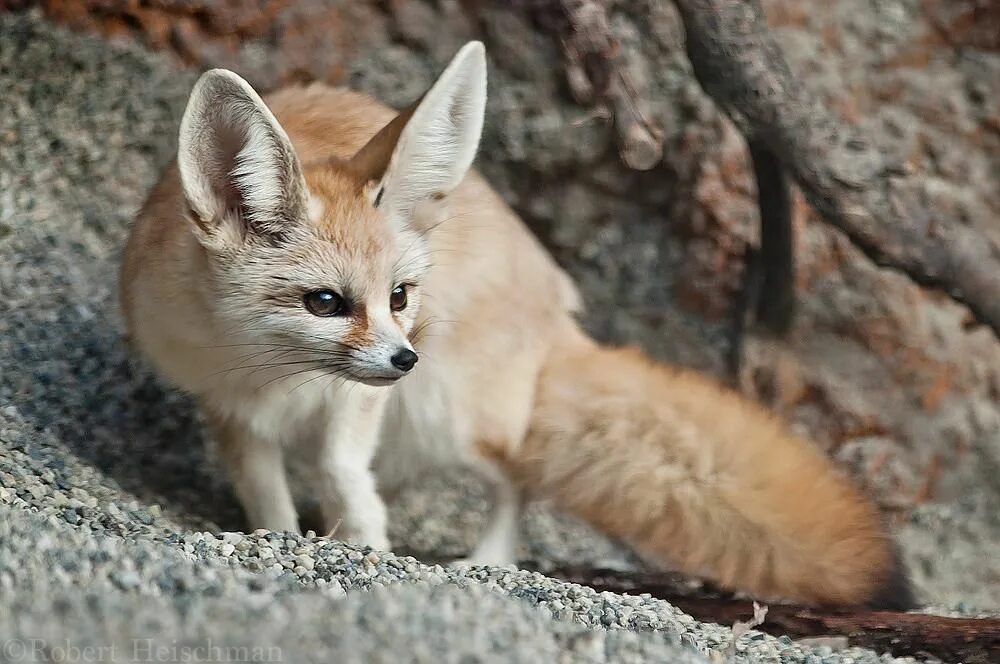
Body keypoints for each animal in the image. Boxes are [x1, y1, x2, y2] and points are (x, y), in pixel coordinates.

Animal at [119, 42, 916, 612]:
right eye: (325, 303)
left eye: (400, 295)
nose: (405, 358)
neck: (272, 376)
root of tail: (555, 306)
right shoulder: (226, 408)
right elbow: (266, 493)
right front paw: (286, 543)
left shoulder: (354, 401)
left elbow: (346, 467)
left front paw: (362, 549)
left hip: (445, 417)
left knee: (514, 479)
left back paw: (480, 562)